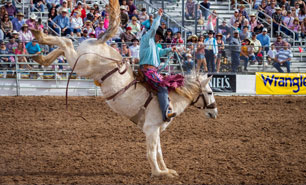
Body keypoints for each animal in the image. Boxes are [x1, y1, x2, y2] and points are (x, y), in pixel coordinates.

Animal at [29, 0, 218, 177]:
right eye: (209, 92)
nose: (215, 112)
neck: (172, 98)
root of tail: (100, 40)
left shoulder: (156, 130)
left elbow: (158, 152)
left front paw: (166, 170)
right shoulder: (151, 128)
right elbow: (152, 152)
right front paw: (158, 173)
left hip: (79, 61)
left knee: (63, 47)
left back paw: (41, 55)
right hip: (83, 65)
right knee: (67, 42)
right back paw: (39, 37)